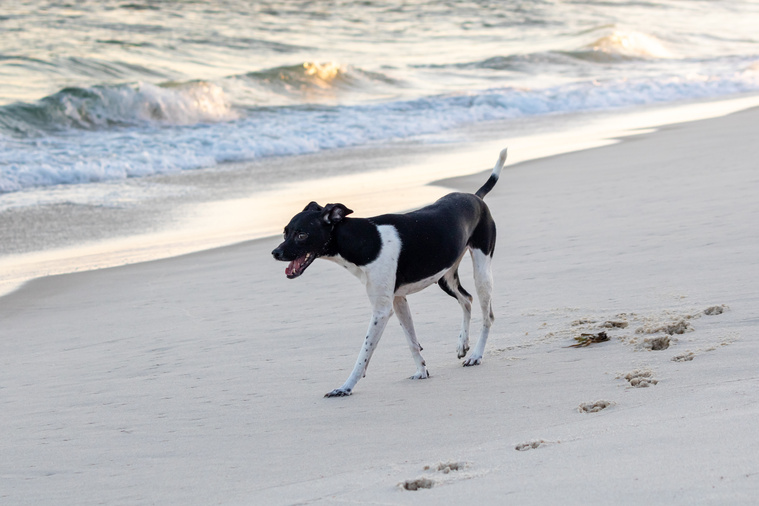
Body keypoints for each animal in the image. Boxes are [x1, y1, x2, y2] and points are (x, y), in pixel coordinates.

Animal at [270, 148, 508, 398]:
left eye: (301, 234)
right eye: (285, 232)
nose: (275, 253)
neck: (364, 239)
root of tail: (476, 197)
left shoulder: (381, 311)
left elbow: (364, 353)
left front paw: (345, 386)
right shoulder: (398, 300)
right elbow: (412, 340)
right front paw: (421, 371)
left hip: (482, 271)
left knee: (487, 315)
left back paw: (476, 355)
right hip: (445, 277)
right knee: (467, 299)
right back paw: (463, 343)